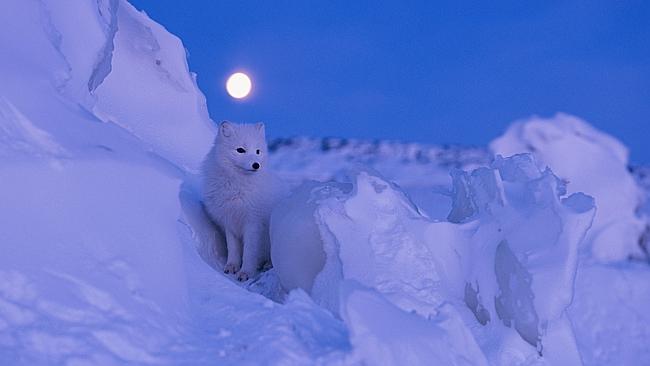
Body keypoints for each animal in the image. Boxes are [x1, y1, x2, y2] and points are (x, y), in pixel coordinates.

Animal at [201, 121, 280, 282]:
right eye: (240, 150)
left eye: (258, 151)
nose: (256, 165)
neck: (236, 187)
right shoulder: (229, 221)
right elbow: (233, 248)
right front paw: (231, 266)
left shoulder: (253, 223)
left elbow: (249, 251)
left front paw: (246, 272)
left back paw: (267, 264)